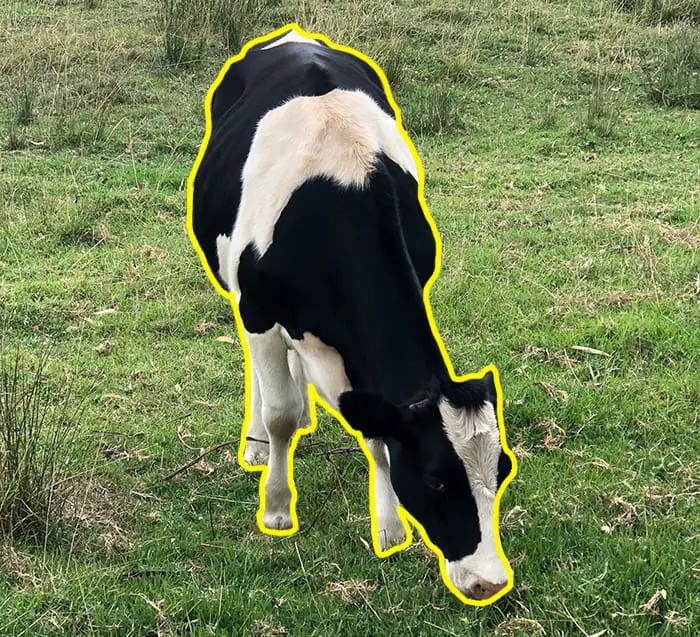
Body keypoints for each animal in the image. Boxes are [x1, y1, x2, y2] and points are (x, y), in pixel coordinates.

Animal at [187, 24, 517, 604]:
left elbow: (376, 426)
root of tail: (291, 34)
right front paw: (277, 508)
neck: (343, 186)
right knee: (265, 380)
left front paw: (387, 527)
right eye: (436, 479)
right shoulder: (259, 311)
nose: (488, 582)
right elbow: (279, 412)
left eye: (500, 471)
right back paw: (259, 444)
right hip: (237, 289)